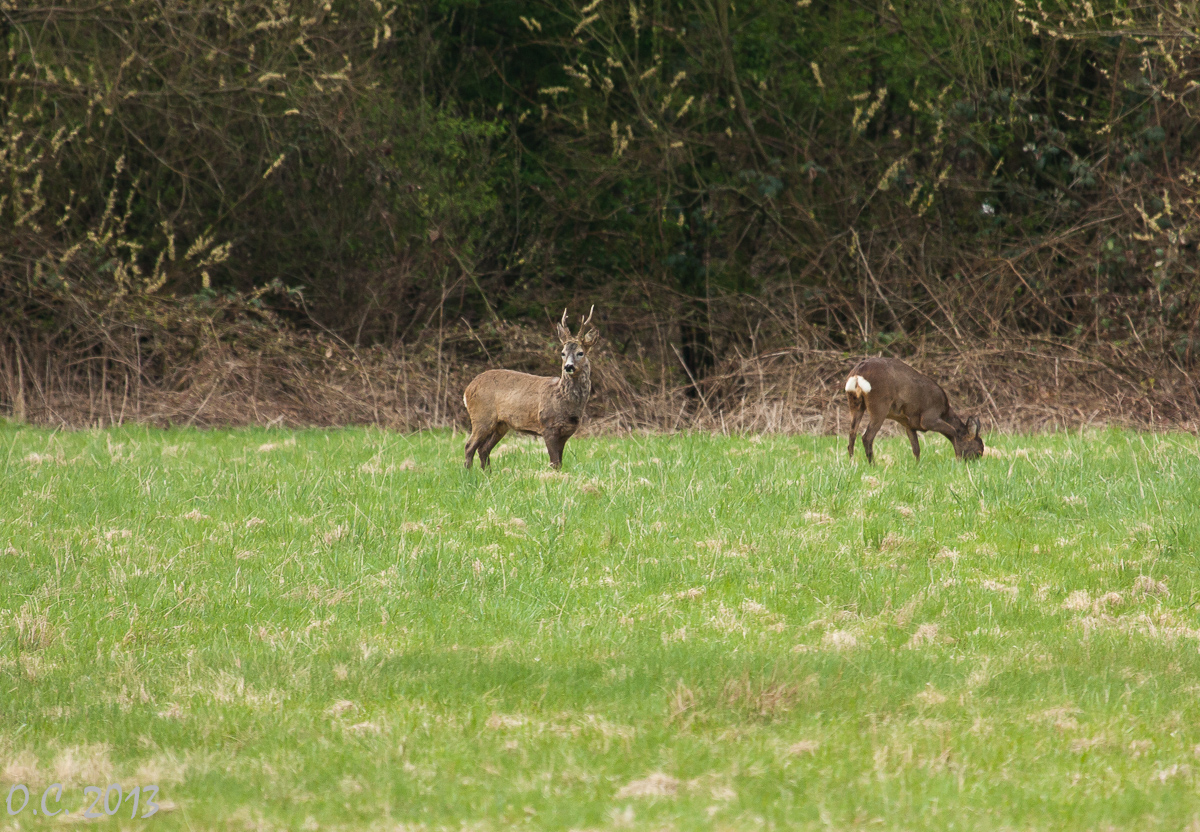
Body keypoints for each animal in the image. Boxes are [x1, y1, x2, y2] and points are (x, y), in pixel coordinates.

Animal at [460, 307, 597, 470]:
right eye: (562, 353)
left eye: (580, 353)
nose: (568, 366)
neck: (563, 398)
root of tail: (468, 389)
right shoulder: (547, 425)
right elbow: (554, 463)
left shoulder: (566, 432)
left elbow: (560, 463)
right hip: (481, 416)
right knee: (469, 446)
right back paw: (468, 473)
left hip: (501, 424)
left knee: (483, 448)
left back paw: (487, 473)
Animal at [844, 355, 984, 463]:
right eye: (978, 451)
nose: (974, 463)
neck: (944, 412)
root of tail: (858, 373)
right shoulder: (928, 419)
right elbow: (953, 431)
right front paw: (958, 459)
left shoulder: (909, 424)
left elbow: (916, 448)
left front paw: (917, 465)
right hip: (879, 404)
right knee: (866, 437)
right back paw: (873, 464)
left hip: (855, 402)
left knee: (852, 433)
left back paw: (851, 462)